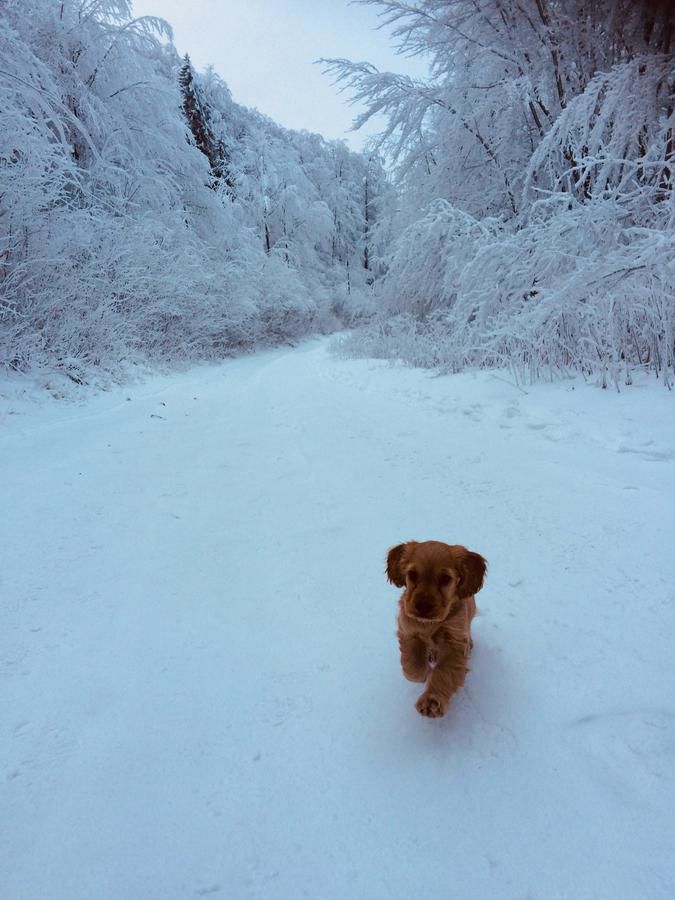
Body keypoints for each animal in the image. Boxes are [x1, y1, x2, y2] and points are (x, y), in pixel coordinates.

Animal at [388, 540, 488, 716]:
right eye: (412, 574)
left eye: (445, 578)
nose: (422, 606)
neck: (430, 624)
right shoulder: (408, 630)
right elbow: (412, 665)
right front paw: (423, 674)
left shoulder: (455, 643)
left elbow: (444, 674)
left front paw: (431, 701)